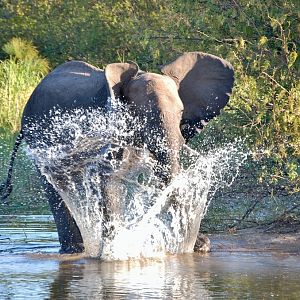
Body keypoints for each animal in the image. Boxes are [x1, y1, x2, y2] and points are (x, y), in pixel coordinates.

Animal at [0, 51, 234, 253]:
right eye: (141, 114)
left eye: (181, 113)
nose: (201, 243)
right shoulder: (109, 127)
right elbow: (110, 179)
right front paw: (115, 250)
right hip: (38, 139)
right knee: (55, 187)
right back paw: (75, 250)